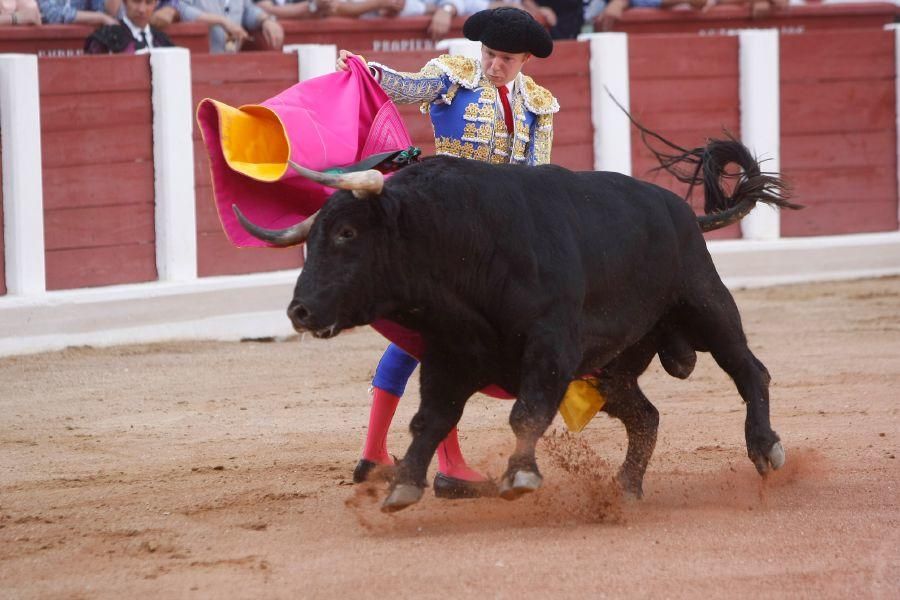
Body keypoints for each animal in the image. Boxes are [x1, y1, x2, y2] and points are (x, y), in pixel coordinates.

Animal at [236, 138, 800, 512]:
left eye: (348, 233)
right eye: (313, 239)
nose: (299, 311)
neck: (459, 243)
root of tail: (682, 213)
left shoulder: (549, 348)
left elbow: (526, 414)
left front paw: (521, 474)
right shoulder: (448, 356)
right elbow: (430, 418)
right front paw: (403, 485)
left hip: (706, 304)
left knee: (750, 370)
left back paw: (766, 448)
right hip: (611, 370)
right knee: (646, 416)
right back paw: (625, 489)